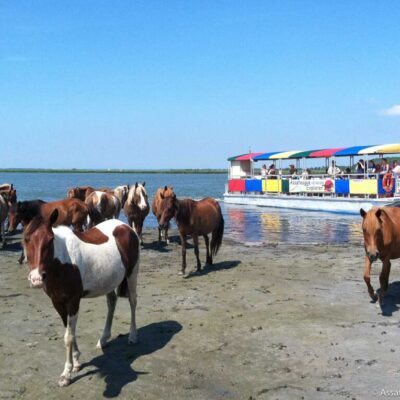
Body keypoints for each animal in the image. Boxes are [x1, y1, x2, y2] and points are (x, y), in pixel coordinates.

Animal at [24, 212, 141, 388]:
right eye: (26, 239)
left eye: (50, 239)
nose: (36, 279)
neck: (61, 263)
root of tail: (125, 226)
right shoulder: (58, 303)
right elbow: (70, 331)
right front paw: (77, 362)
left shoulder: (73, 301)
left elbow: (68, 336)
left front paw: (66, 374)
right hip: (109, 281)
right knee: (111, 303)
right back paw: (103, 339)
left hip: (132, 274)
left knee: (133, 302)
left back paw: (133, 337)